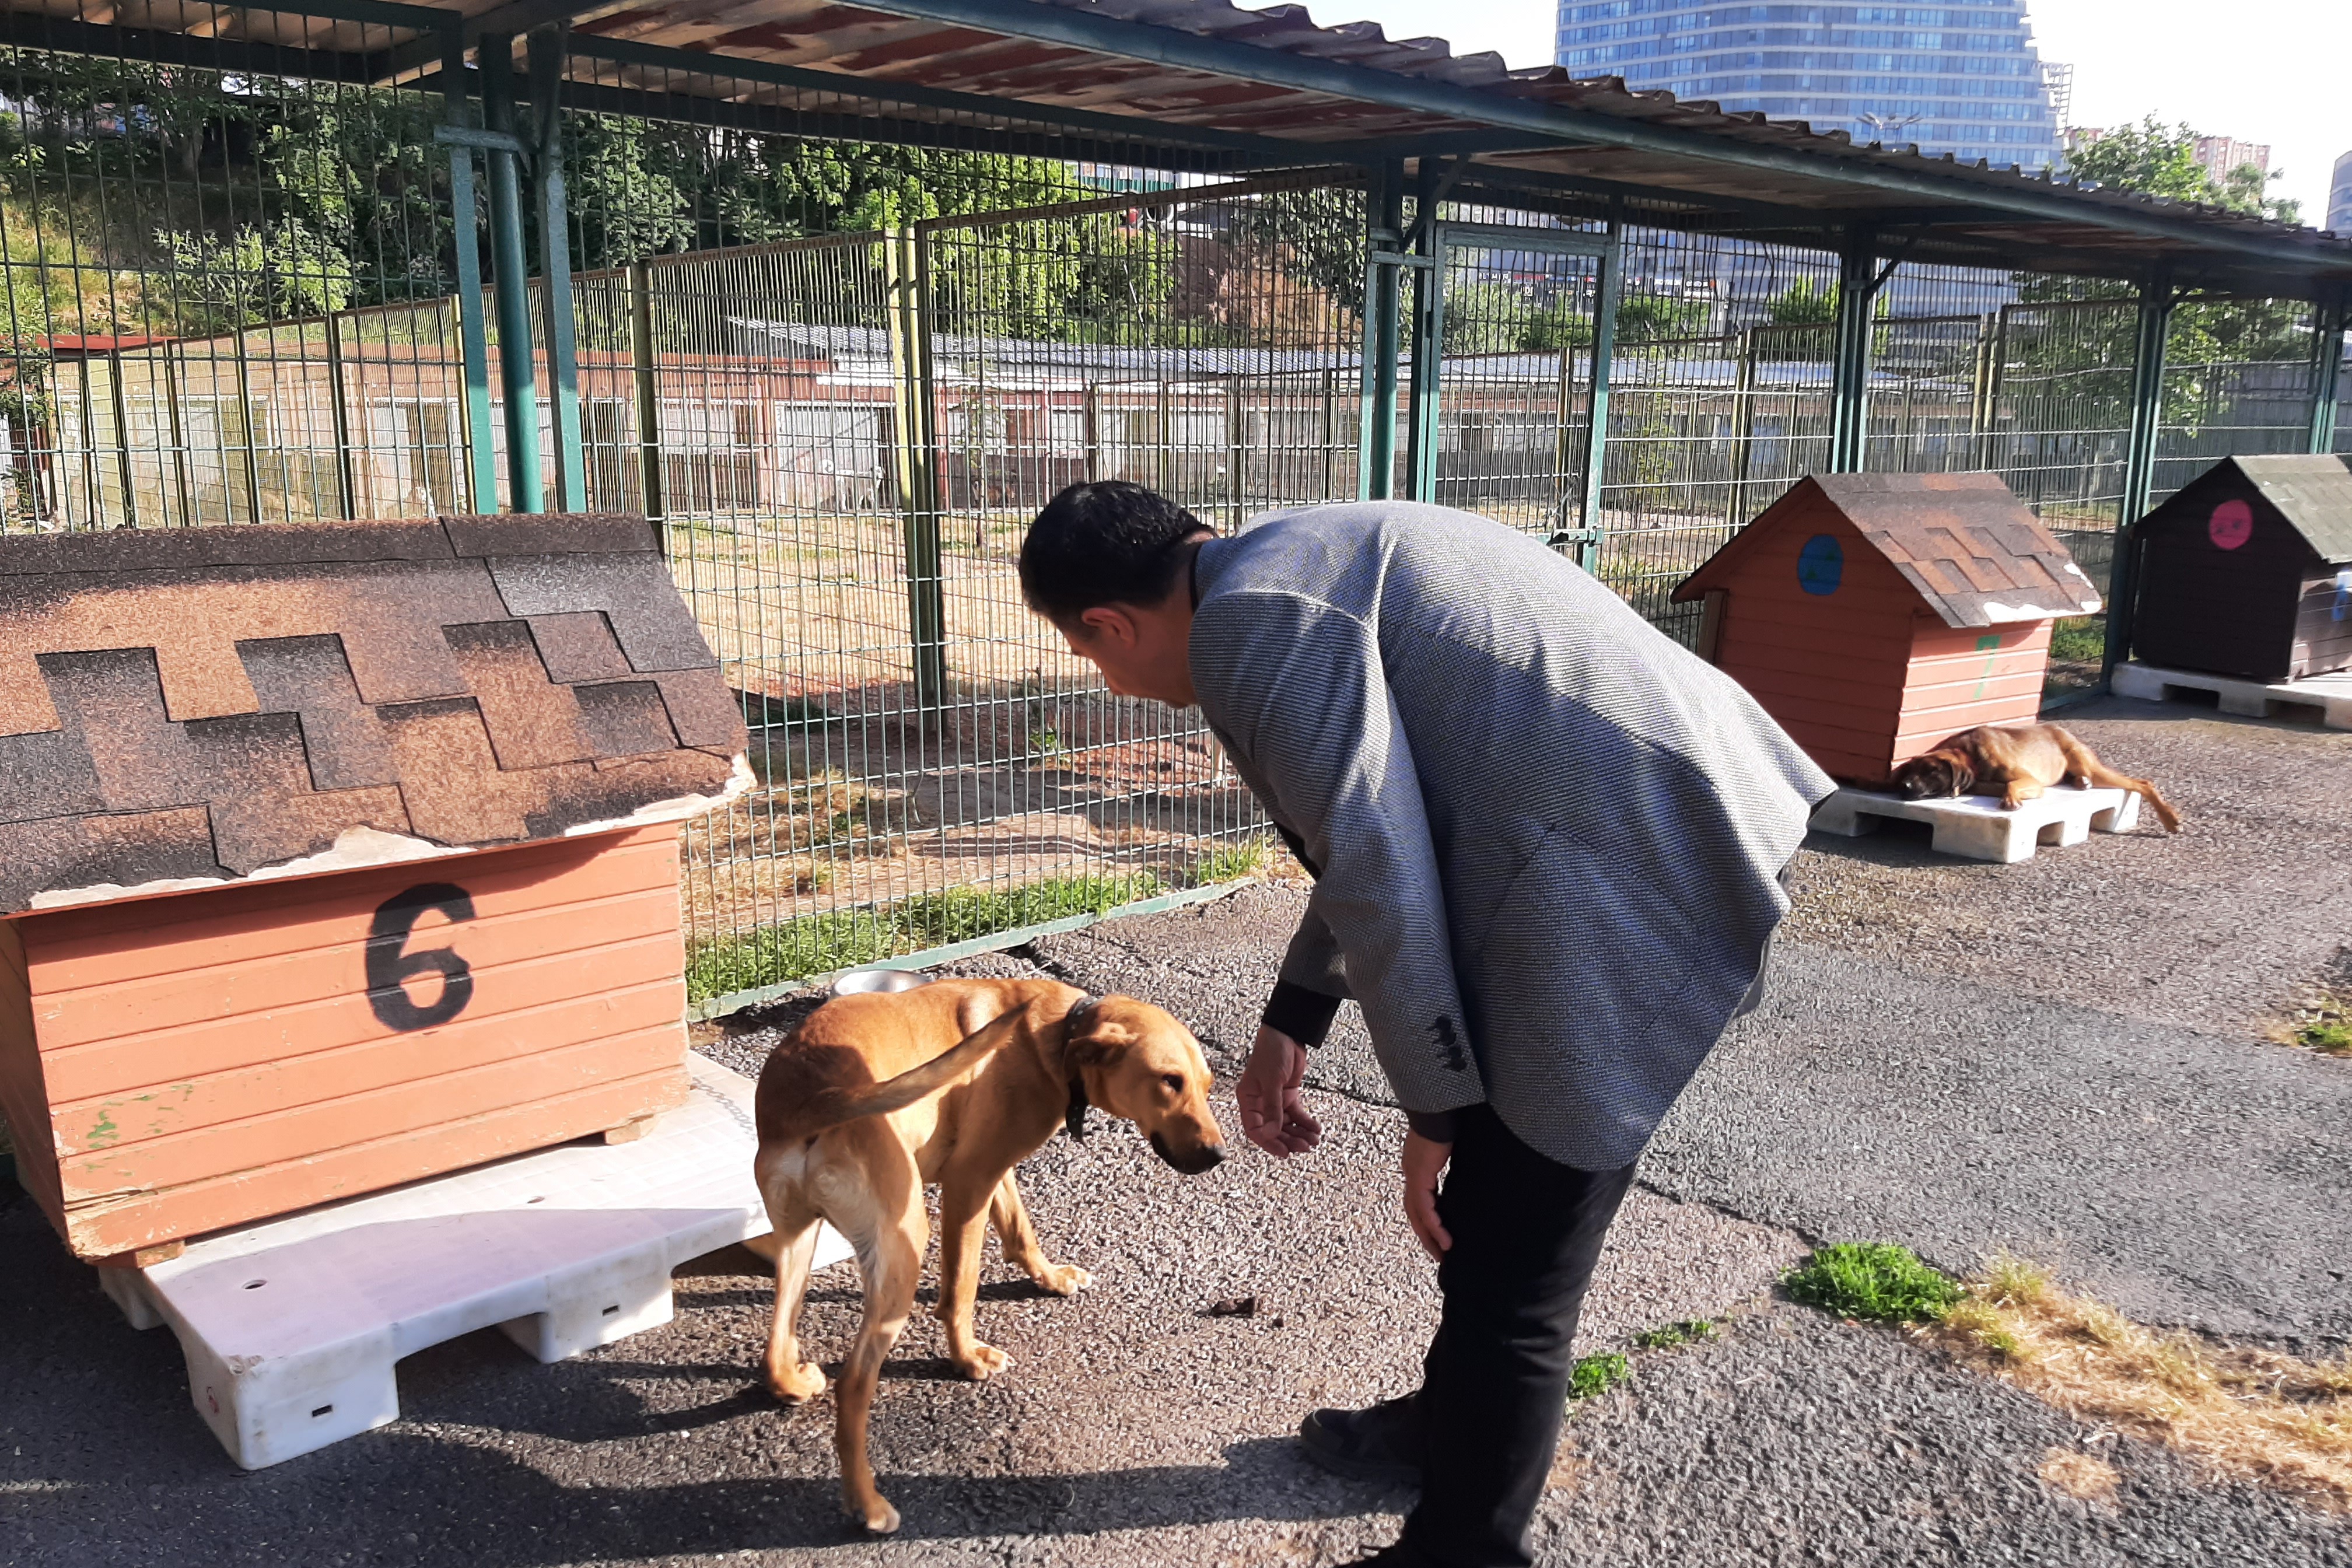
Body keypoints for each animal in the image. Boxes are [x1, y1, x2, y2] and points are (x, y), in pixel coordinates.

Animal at [752, 982, 1232, 1532]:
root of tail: (811, 1100)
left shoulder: (989, 1168)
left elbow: (1020, 1229)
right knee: (853, 1385)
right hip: (904, 1242)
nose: (1219, 1155)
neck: (1059, 1033)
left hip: (797, 1239)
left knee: (775, 1346)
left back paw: (793, 1382)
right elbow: (961, 1290)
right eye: (1169, 1081)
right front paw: (966, 1358)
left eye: (1207, 1085)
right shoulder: (967, 1183)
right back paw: (867, 1505)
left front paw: (1051, 1278)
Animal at [1881, 719, 2173, 827]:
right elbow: (2000, 786)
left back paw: (2170, 819)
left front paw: (2011, 801)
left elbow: (2012, 786)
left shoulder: (2032, 781)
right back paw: (2081, 783)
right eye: (1910, 770)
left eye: (1932, 771)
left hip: (2091, 766)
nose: (1905, 786)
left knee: (2142, 782)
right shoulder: (1981, 784)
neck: (1970, 755)